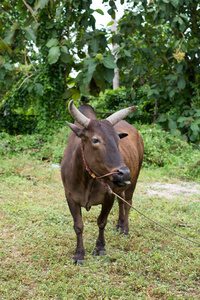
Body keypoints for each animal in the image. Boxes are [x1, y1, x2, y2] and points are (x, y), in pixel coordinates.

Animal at [61, 101, 144, 264]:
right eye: (95, 140)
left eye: (118, 141)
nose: (124, 173)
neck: (87, 178)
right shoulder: (70, 196)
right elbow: (78, 225)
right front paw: (79, 254)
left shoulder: (108, 196)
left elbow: (101, 222)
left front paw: (100, 247)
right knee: (122, 201)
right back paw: (119, 224)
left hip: (134, 180)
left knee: (128, 203)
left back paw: (125, 229)